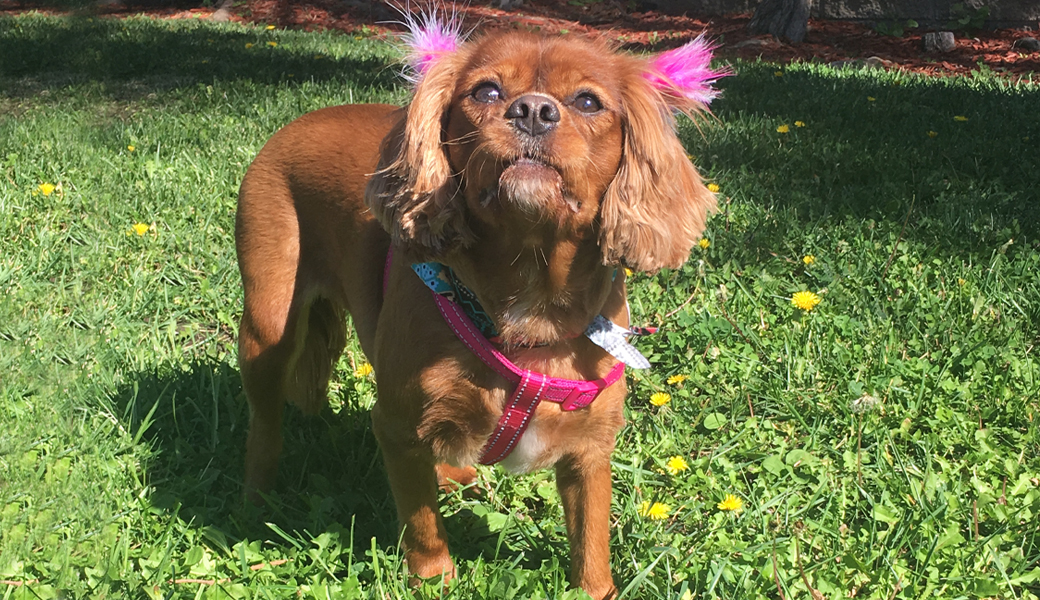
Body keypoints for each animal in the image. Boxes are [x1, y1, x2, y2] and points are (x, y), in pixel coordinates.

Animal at [236, 16, 723, 594]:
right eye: (487, 92)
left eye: (587, 102)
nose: (533, 110)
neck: (530, 308)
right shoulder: (396, 427)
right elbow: (421, 521)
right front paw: (434, 578)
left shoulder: (590, 450)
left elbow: (591, 540)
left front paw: (596, 589)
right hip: (267, 329)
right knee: (264, 424)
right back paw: (255, 498)